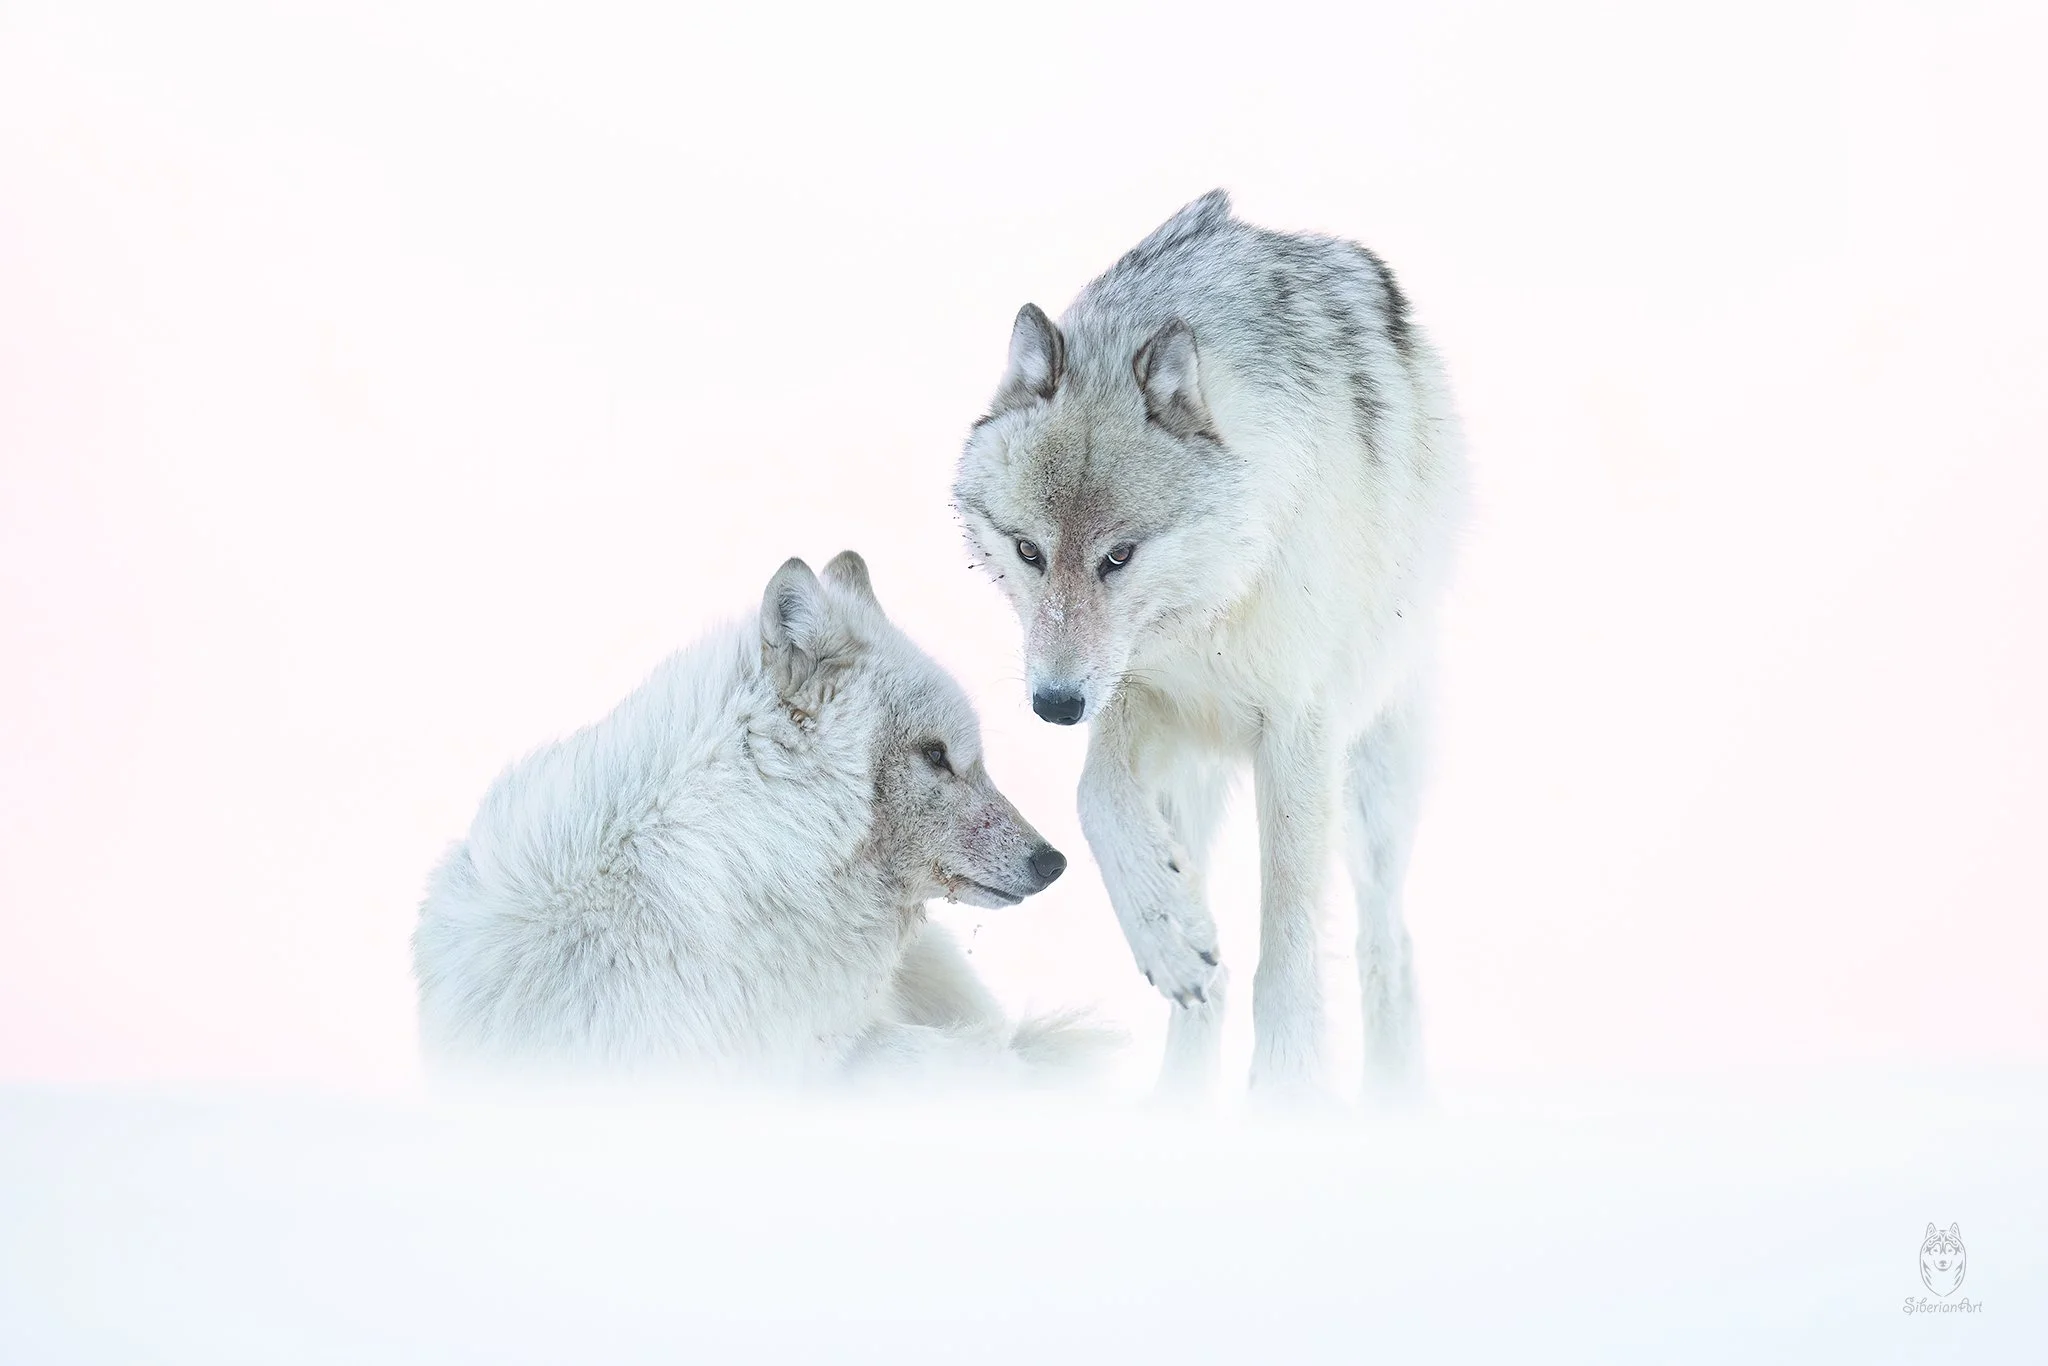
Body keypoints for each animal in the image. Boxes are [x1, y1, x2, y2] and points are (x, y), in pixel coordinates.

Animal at [953, 191, 1467, 1096]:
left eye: (1119, 555)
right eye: (1028, 552)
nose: (1053, 706)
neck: (1214, 607)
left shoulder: (1299, 728)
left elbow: (1290, 933)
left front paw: (1288, 1081)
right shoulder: (1136, 695)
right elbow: (1095, 799)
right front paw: (1168, 933)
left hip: (1372, 781)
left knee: (1386, 936)